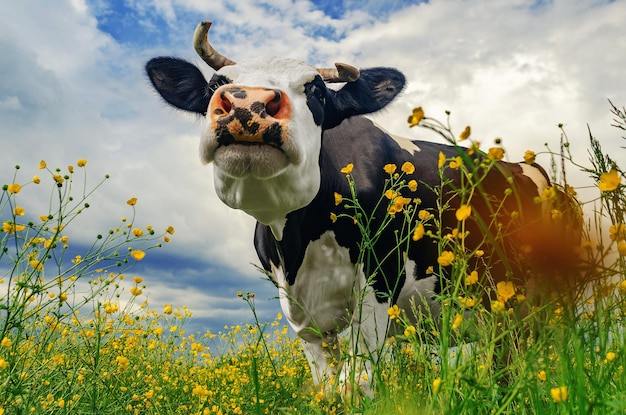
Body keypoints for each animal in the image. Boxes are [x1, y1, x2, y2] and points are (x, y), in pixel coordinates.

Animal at [146, 21, 580, 398]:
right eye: (216, 85)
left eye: (317, 91)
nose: (249, 102)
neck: (299, 245)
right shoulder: (300, 313)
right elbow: (326, 387)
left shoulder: (380, 282)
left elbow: (357, 382)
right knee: (505, 356)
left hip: (553, 298)